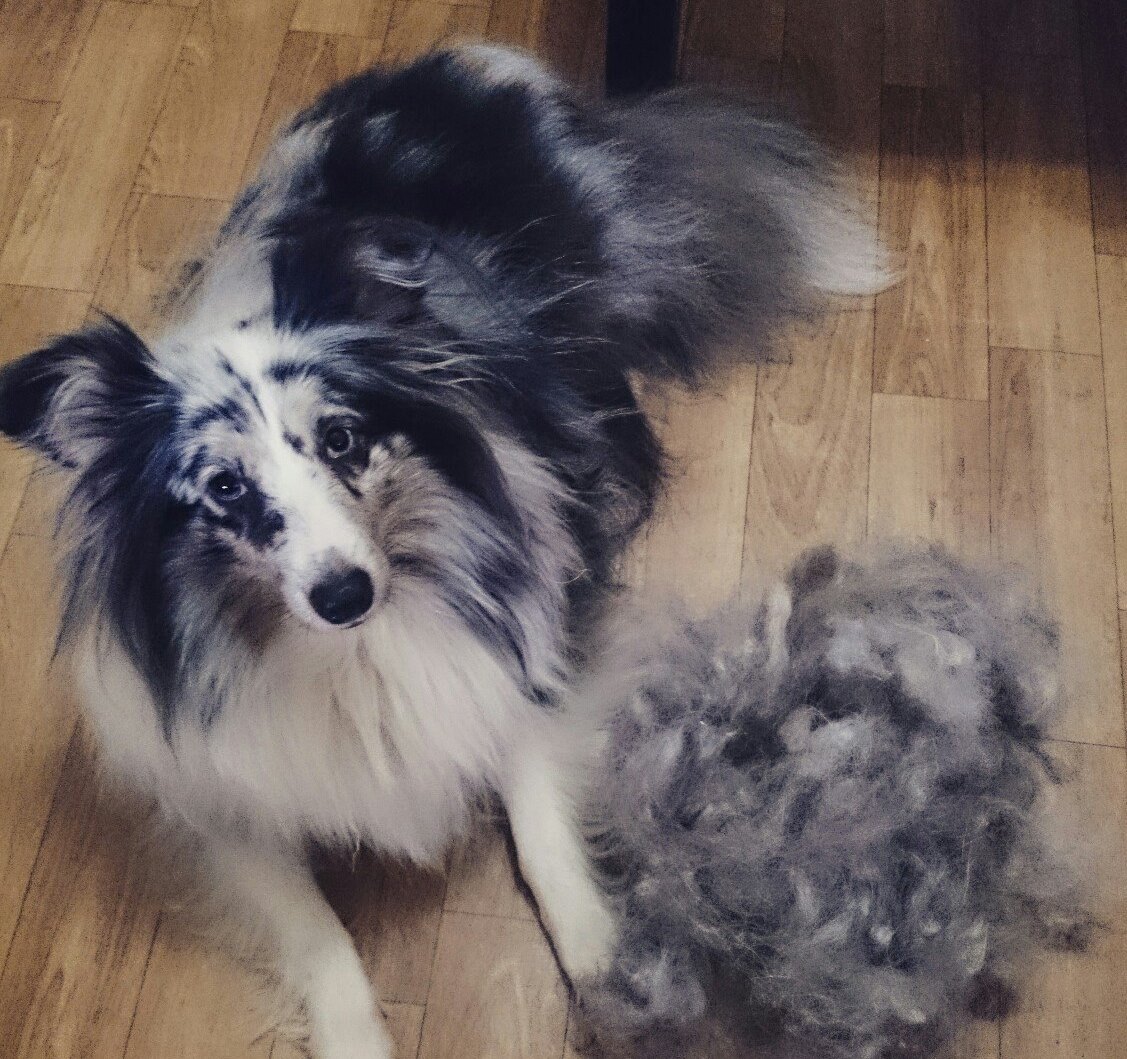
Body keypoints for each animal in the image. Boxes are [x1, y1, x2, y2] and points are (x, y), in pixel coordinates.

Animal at [0, 43, 883, 1059]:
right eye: (223, 487)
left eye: (341, 438)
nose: (344, 592)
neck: (355, 657)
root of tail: (466, 63)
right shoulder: (217, 794)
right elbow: (314, 928)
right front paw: (354, 1037)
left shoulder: (532, 648)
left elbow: (541, 826)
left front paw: (609, 967)